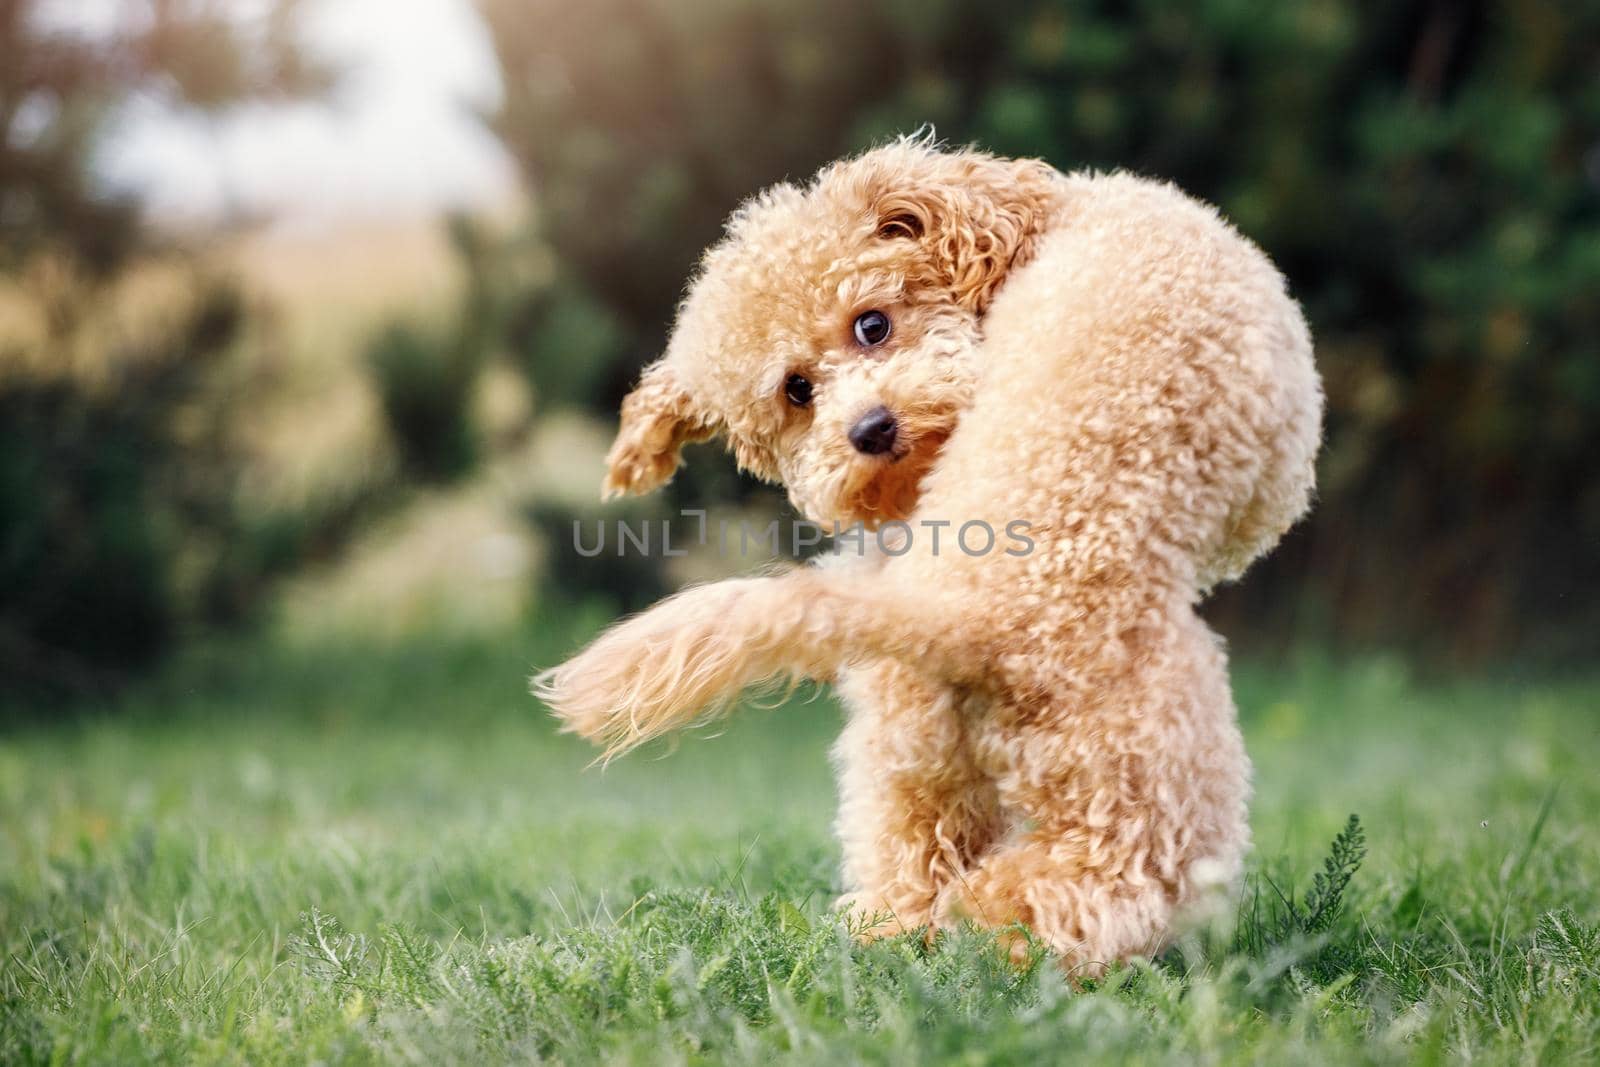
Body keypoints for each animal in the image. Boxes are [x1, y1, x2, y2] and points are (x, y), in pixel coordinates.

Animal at [531, 139, 1318, 979]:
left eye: (872, 323)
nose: (870, 429)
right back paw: (1005, 936)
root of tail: (956, 614)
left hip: (914, 758)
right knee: (1081, 886)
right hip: (1152, 771)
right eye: (798, 391)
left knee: (912, 865)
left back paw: (902, 934)